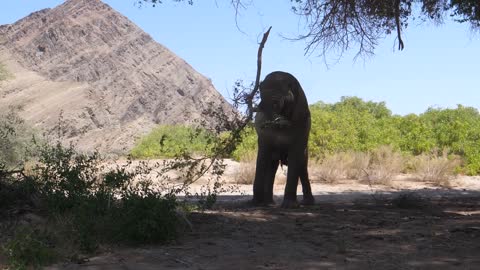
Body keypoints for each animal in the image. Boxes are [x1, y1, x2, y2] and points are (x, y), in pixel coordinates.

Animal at [251, 70, 316, 208]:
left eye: (276, 103)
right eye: (260, 98)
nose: (279, 121)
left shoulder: (301, 120)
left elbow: (295, 156)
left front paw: (290, 205)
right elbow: (262, 156)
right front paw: (255, 203)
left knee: (302, 164)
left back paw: (307, 203)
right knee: (271, 165)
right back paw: (268, 204)